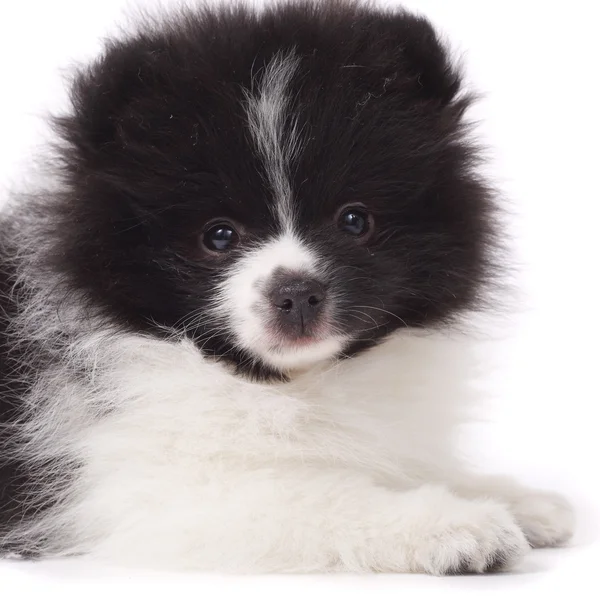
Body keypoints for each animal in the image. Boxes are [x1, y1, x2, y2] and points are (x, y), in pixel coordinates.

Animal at [0, 0, 572, 572]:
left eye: (354, 220)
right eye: (219, 235)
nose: (296, 293)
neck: (285, 381)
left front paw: (514, 499)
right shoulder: (150, 491)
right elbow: (318, 495)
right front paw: (452, 523)